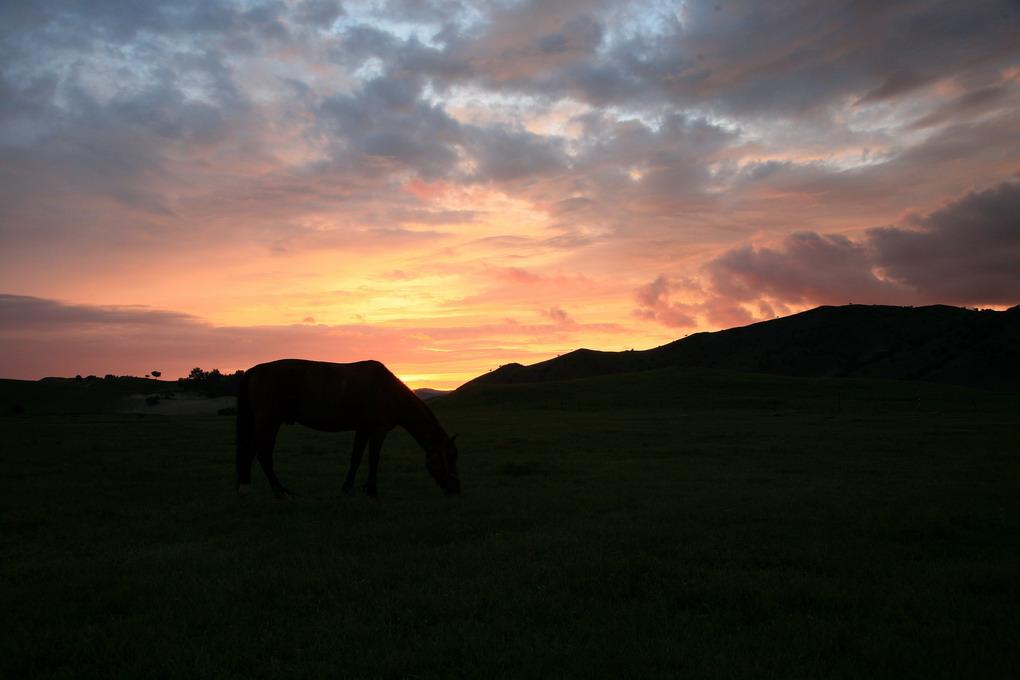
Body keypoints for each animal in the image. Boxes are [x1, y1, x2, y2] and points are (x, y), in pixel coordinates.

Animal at [233, 358, 461, 497]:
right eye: (449, 457)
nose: (456, 488)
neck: (388, 390)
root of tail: (257, 369)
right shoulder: (377, 431)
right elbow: (373, 460)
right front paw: (372, 491)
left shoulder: (363, 430)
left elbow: (356, 459)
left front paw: (348, 489)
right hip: (269, 423)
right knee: (262, 455)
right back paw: (279, 492)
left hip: (264, 425)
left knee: (250, 452)